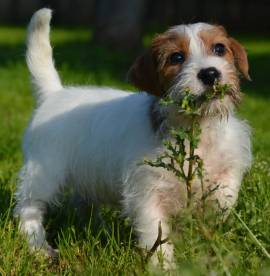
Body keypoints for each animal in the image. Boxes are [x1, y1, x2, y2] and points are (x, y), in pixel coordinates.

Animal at [14, 7, 251, 264]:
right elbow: (156, 233)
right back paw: (39, 247)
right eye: (176, 57)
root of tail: (54, 94)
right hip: (44, 171)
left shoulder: (228, 166)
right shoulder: (147, 193)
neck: (195, 127)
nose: (210, 73)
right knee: (28, 208)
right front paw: (164, 265)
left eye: (219, 49)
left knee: (83, 203)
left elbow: (226, 194)